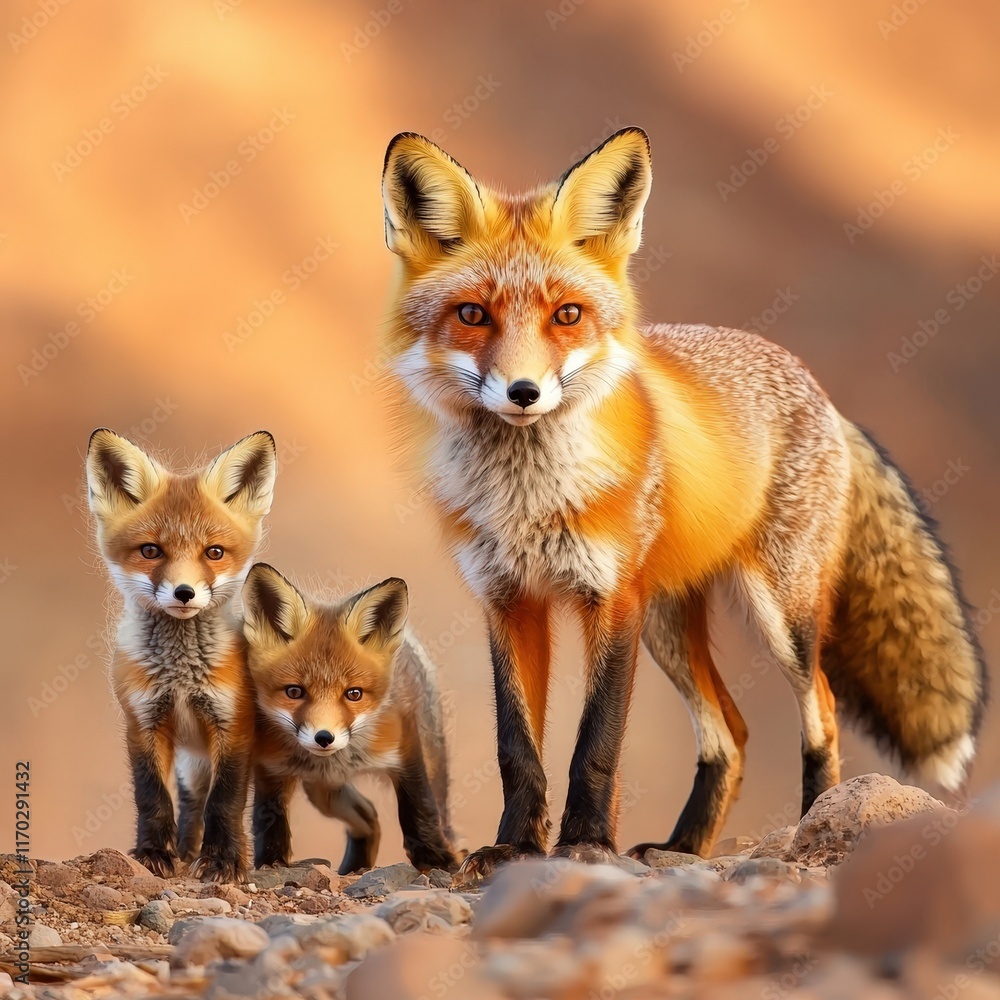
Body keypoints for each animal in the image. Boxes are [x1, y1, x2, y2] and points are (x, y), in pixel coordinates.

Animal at [86, 428, 277, 881]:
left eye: (214, 552)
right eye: (150, 551)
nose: (184, 592)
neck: (181, 677)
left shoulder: (233, 724)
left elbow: (225, 802)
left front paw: (224, 860)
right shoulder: (142, 722)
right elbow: (152, 796)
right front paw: (154, 853)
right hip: (192, 760)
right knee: (191, 804)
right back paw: (187, 850)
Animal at [242, 563, 461, 874]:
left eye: (353, 694)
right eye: (294, 691)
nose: (324, 738)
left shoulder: (404, 752)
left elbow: (419, 809)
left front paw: (437, 859)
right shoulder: (270, 768)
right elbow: (267, 822)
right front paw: (271, 862)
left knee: (431, 812)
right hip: (323, 792)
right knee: (368, 814)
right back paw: (355, 866)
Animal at [378, 126, 988, 878]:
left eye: (567, 315)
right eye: (471, 315)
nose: (523, 392)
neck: (529, 498)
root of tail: (819, 390)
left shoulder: (612, 600)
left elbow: (597, 743)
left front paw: (586, 843)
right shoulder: (508, 600)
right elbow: (516, 748)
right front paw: (516, 847)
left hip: (778, 612)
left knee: (819, 706)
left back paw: (809, 821)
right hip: (669, 622)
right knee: (731, 732)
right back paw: (684, 847)